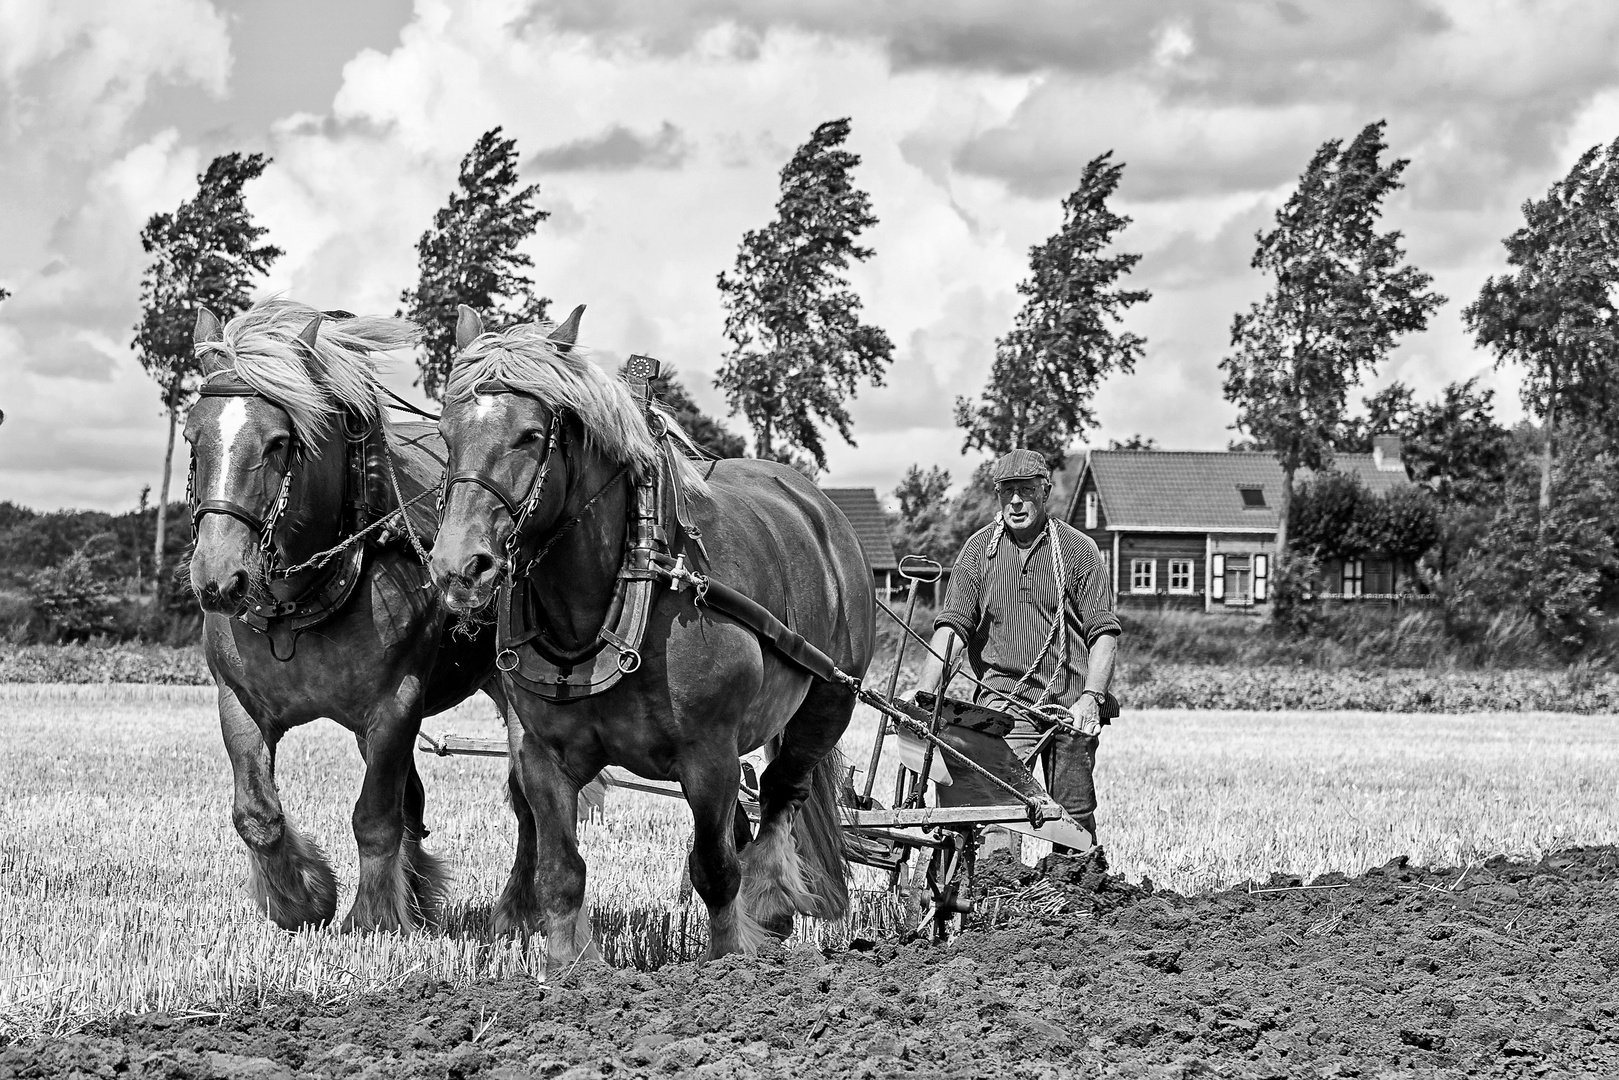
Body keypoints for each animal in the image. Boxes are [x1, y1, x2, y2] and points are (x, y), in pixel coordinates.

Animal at [183, 299, 501, 932]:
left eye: (279, 442)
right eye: (193, 436)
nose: (218, 579)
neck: (298, 606)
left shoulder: (396, 704)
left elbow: (375, 816)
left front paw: (374, 916)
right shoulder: (237, 700)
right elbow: (257, 813)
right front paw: (302, 897)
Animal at [427, 306, 874, 971]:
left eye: (530, 435)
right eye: (446, 434)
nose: (459, 567)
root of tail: (818, 508)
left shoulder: (709, 754)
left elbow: (715, 871)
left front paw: (728, 961)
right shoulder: (540, 754)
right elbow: (561, 872)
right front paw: (569, 970)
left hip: (829, 702)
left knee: (780, 794)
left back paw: (770, 908)